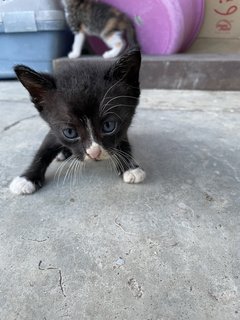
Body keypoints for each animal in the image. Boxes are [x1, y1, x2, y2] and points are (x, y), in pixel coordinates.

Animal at [9, 49, 146, 195]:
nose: (94, 153)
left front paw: (130, 167)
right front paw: (27, 178)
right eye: (70, 132)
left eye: (108, 126)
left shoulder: (123, 129)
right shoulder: (54, 132)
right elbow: (43, 150)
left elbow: (123, 142)